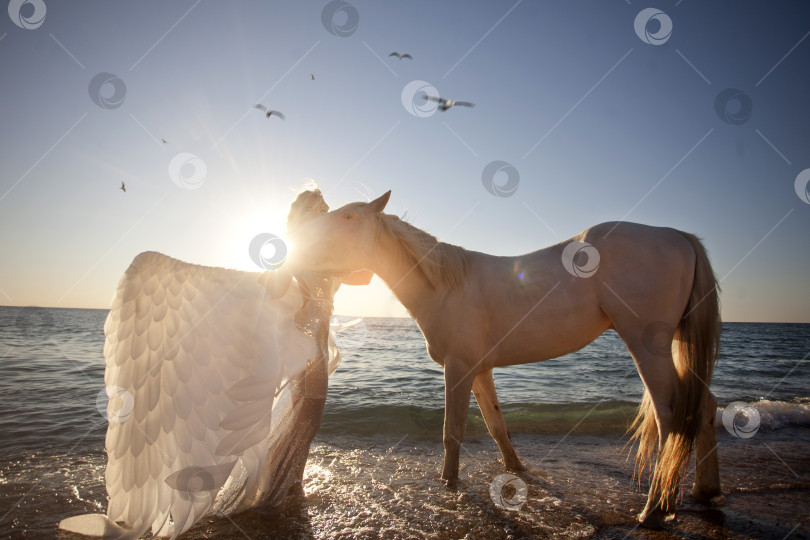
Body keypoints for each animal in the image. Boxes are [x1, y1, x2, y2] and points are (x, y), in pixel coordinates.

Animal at [286, 191, 720, 528]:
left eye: (348, 216)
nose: (305, 240)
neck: (447, 285)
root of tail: (678, 236)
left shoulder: (459, 368)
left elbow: (452, 432)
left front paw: (449, 485)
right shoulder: (481, 371)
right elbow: (497, 427)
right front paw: (516, 471)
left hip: (647, 345)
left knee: (670, 415)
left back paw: (654, 509)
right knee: (704, 405)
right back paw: (701, 492)